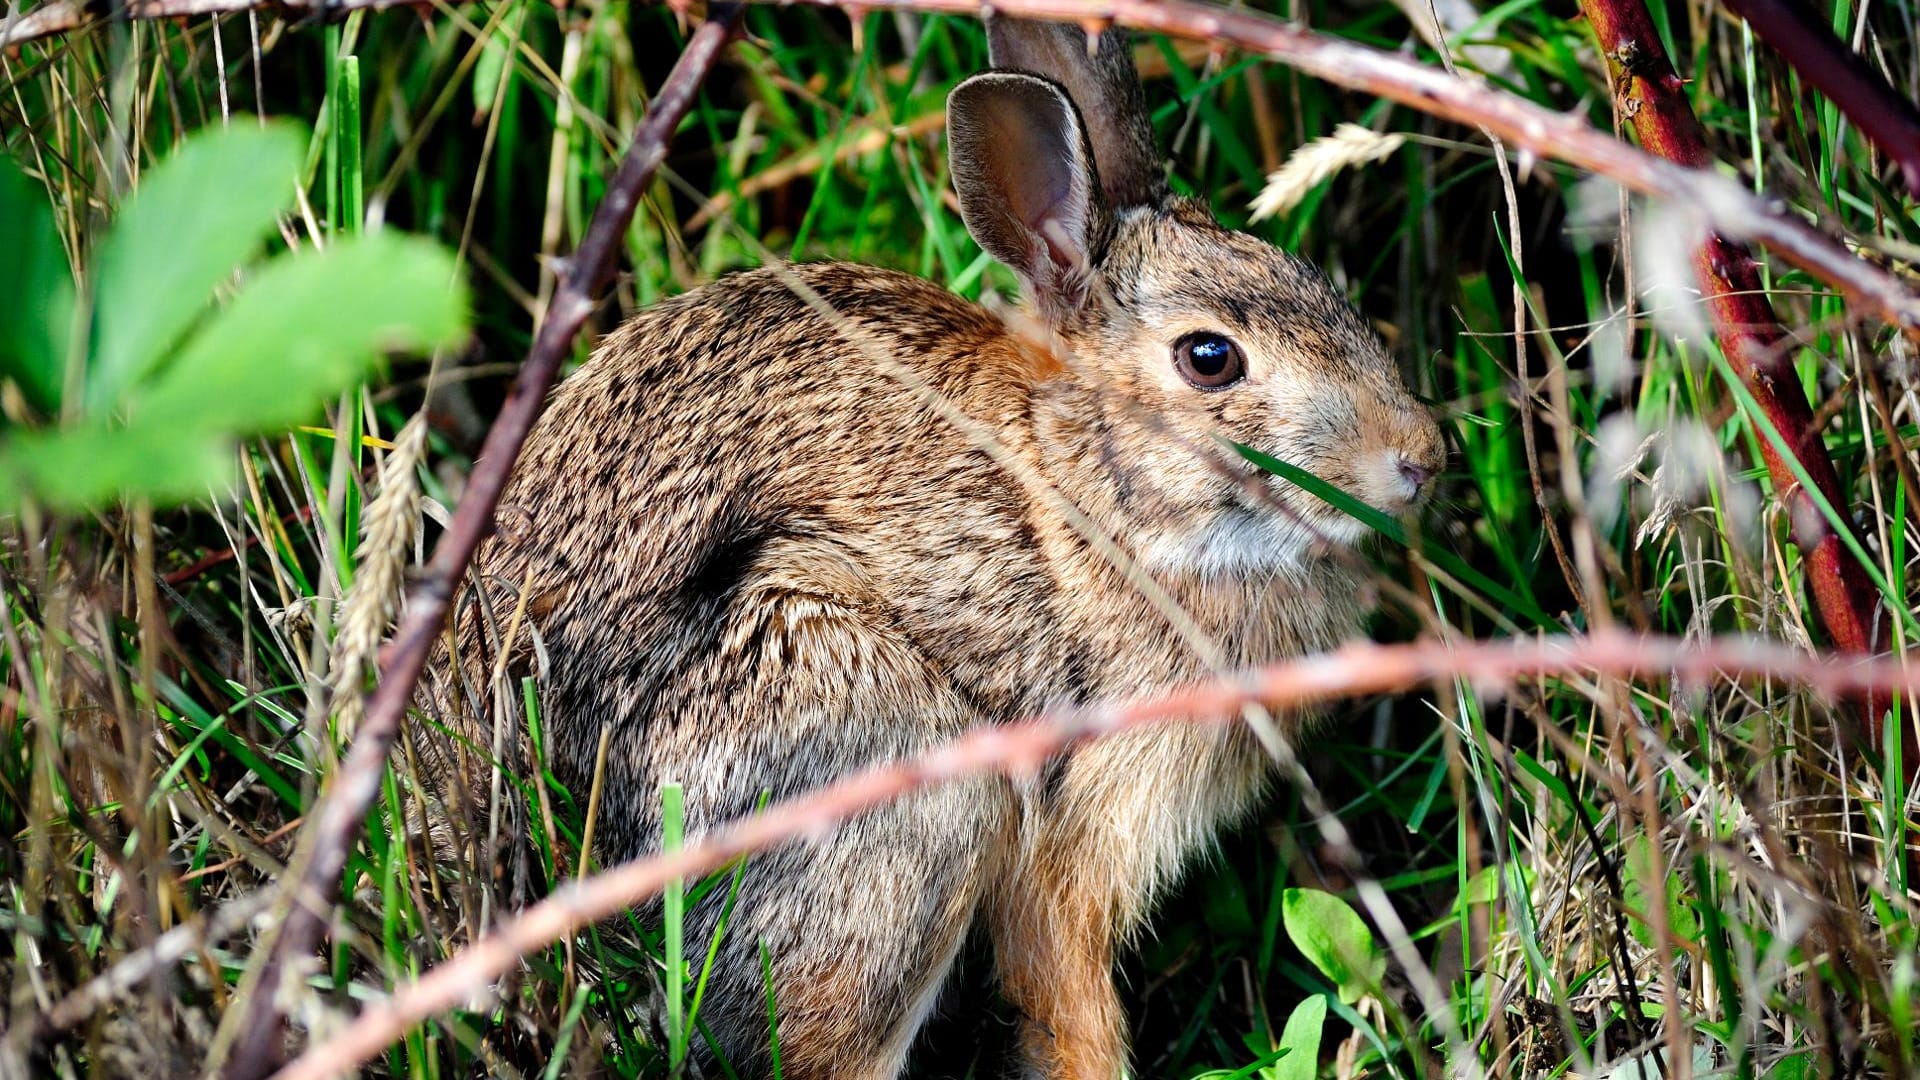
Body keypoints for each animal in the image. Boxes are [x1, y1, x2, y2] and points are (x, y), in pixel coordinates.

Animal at [420, 14, 1443, 1076]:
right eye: (1210, 358)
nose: (1421, 459)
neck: (1086, 490)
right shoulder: (1076, 827)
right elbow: (1063, 995)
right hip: (896, 782)